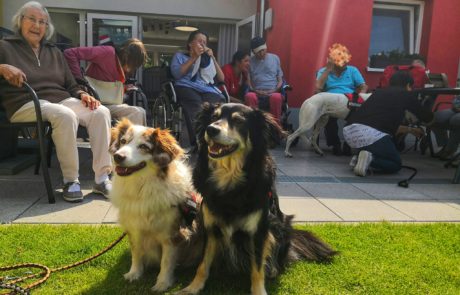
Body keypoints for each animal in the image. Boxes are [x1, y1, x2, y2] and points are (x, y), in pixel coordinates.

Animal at [109, 118, 201, 294]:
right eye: (123, 141)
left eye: (143, 147)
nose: (118, 156)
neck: (142, 188)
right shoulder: (135, 228)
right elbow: (136, 253)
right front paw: (134, 273)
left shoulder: (172, 234)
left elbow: (166, 261)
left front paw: (162, 283)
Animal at [178, 103, 336, 295]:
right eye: (214, 118)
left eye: (239, 121)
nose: (211, 129)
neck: (229, 180)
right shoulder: (211, 228)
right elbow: (203, 263)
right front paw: (193, 287)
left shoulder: (259, 231)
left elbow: (257, 268)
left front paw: (259, 290)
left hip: (278, 227)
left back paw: (273, 269)